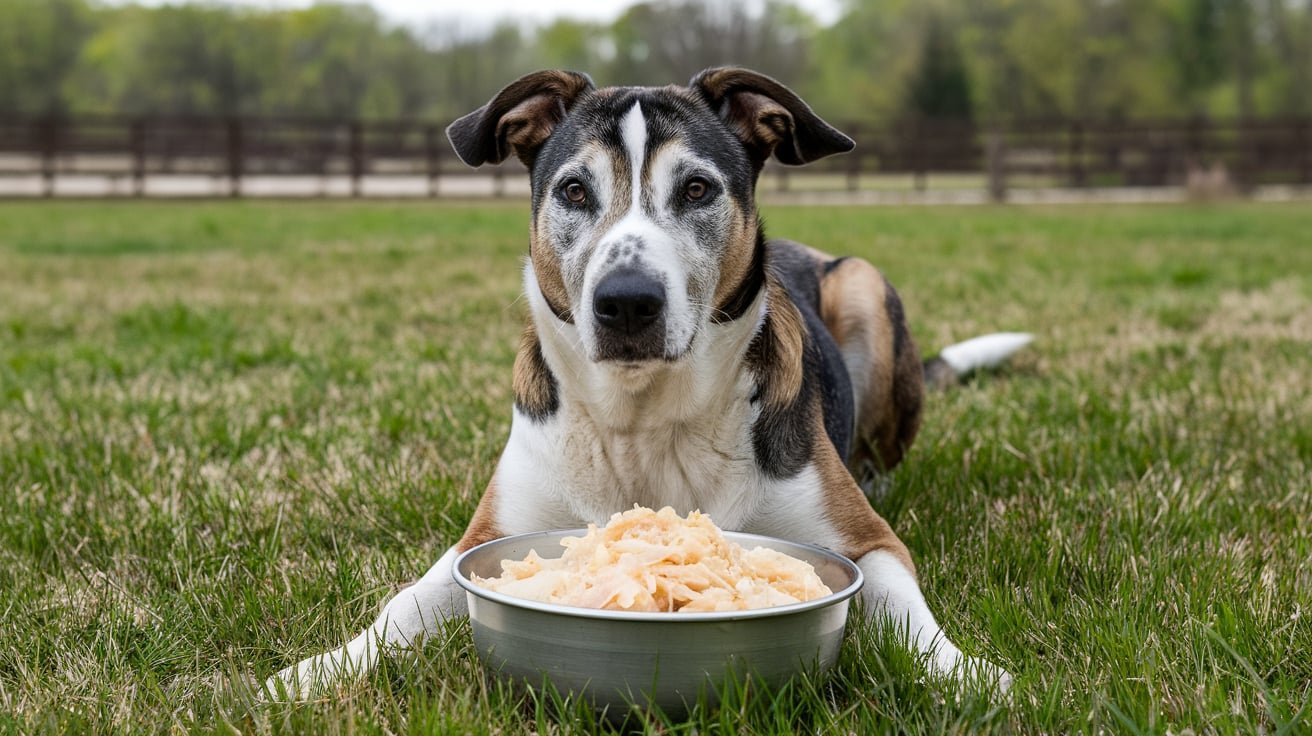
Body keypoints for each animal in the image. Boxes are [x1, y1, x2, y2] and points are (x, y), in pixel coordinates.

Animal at [268, 65, 1023, 697]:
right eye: (575, 190)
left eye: (696, 189)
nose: (627, 301)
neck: (644, 420)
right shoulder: (484, 539)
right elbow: (405, 604)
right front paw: (314, 672)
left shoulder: (870, 543)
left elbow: (912, 619)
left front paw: (975, 677)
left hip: (863, 283)